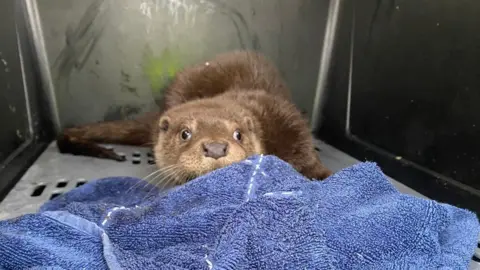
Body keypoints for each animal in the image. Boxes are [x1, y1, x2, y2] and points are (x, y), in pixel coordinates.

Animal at [58, 50, 332, 182]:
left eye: (238, 134)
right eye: (185, 133)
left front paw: (320, 175)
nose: (215, 148)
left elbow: (303, 146)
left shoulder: (283, 115)